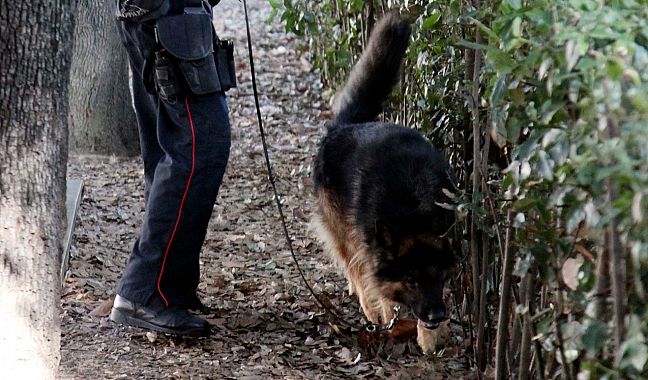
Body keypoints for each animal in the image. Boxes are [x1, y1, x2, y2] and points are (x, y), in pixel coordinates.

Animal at [310, 11, 454, 352]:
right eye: (412, 281)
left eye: (439, 277)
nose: (437, 316)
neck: (412, 207)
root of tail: (346, 126)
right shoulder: (369, 246)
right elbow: (377, 285)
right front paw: (388, 315)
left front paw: (428, 337)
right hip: (343, 229)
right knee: (352, 264)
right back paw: (366, 301)